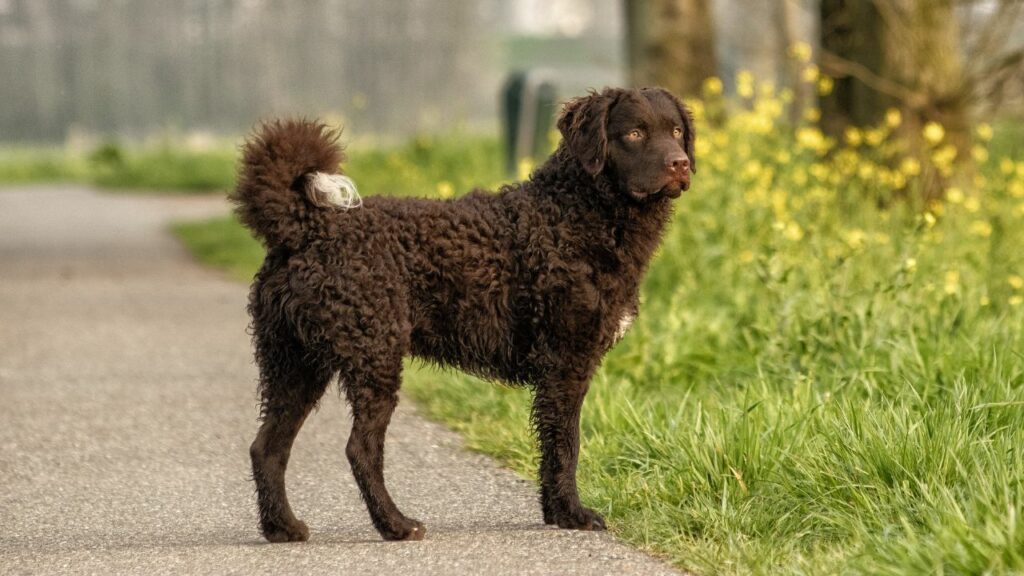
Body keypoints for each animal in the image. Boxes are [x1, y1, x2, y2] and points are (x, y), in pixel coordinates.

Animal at [233, 85, 696, 537]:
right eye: (634, 133)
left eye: (675, 131)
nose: (682, 164)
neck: (573, 214)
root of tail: (306, 227)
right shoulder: (566, 361)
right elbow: (567, 444)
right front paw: (573, 514)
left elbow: (552, 447)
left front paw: (554, 513)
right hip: (373, 357)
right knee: (359, 449)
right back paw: (396, 524)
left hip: (295, 364)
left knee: (267, 447)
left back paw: (283, 527)